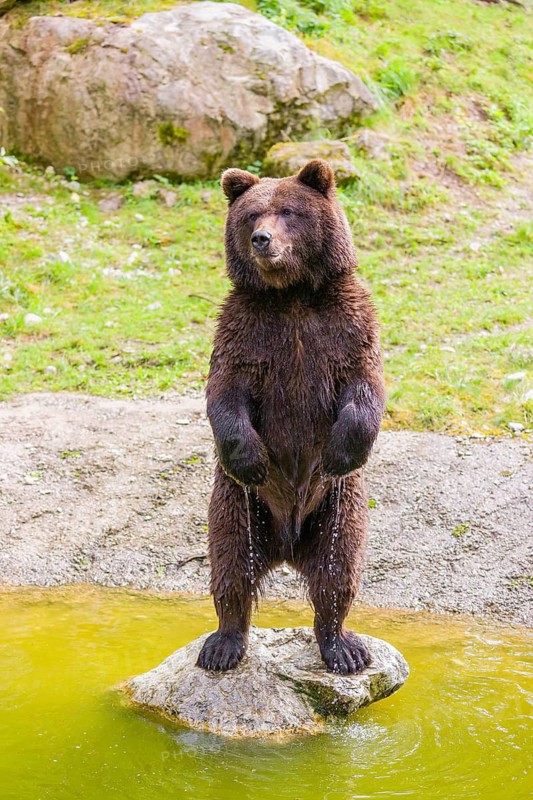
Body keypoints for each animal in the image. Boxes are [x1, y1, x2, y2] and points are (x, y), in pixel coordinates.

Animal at [196, 159, 385, 675]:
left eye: (288, 212)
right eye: (251, 215)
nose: (262, 239)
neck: (292, 295)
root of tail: (286, 545)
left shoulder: (346, 328)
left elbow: (365, 386)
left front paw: (340, 452)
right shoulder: (246, 331)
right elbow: (226, 393)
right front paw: (254, 460)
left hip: (339, 509)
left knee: (338, 571)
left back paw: (343, 646)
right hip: (237, 507)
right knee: (231, 566)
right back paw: (223, 644)